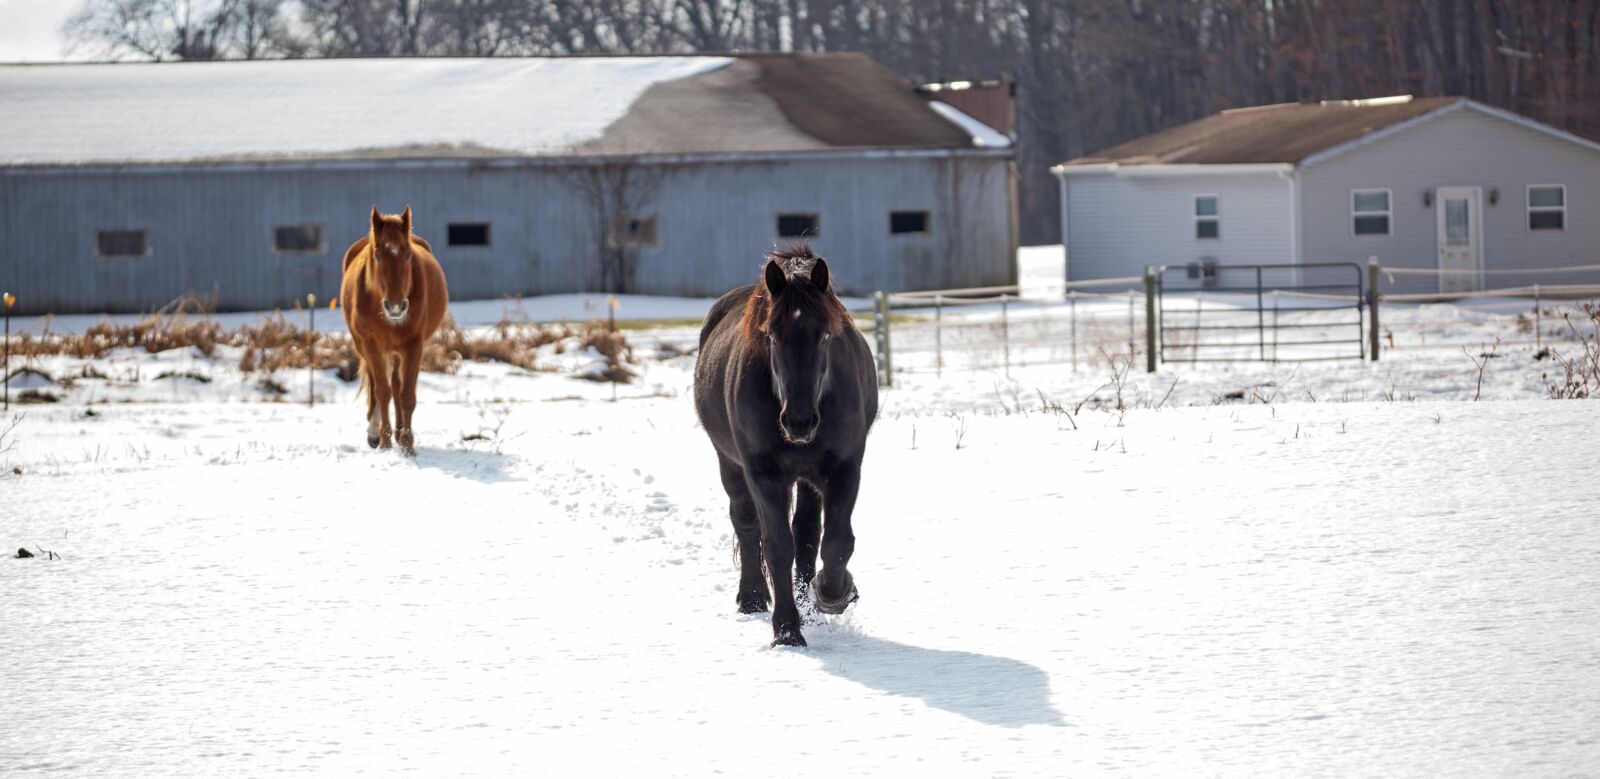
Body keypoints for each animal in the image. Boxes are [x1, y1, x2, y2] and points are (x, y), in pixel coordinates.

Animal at [340, 206, 449, 456]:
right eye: (378, 256)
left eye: (408, 255)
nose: (396, 306)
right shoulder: (371, 345)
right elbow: (383, 392)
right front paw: (385, 442)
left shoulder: (414, 346)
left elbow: (406, 395)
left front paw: (407, 445)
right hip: (367, 347)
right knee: (376, 384)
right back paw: (375, 433)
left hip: (398, 351)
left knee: (397, 385)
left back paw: (399, 434)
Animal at [693, 245, 879, 646]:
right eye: (772, 336)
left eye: (825, 336)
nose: (799, 421)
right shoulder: (764, 474)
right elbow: (778, 546)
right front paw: (787, 630)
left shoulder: (844, 468)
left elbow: (835, 542)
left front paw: (833, 595)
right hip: (730, 465)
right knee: (746, 524)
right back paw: (752, 598)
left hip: (807, 479)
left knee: (807, 533)